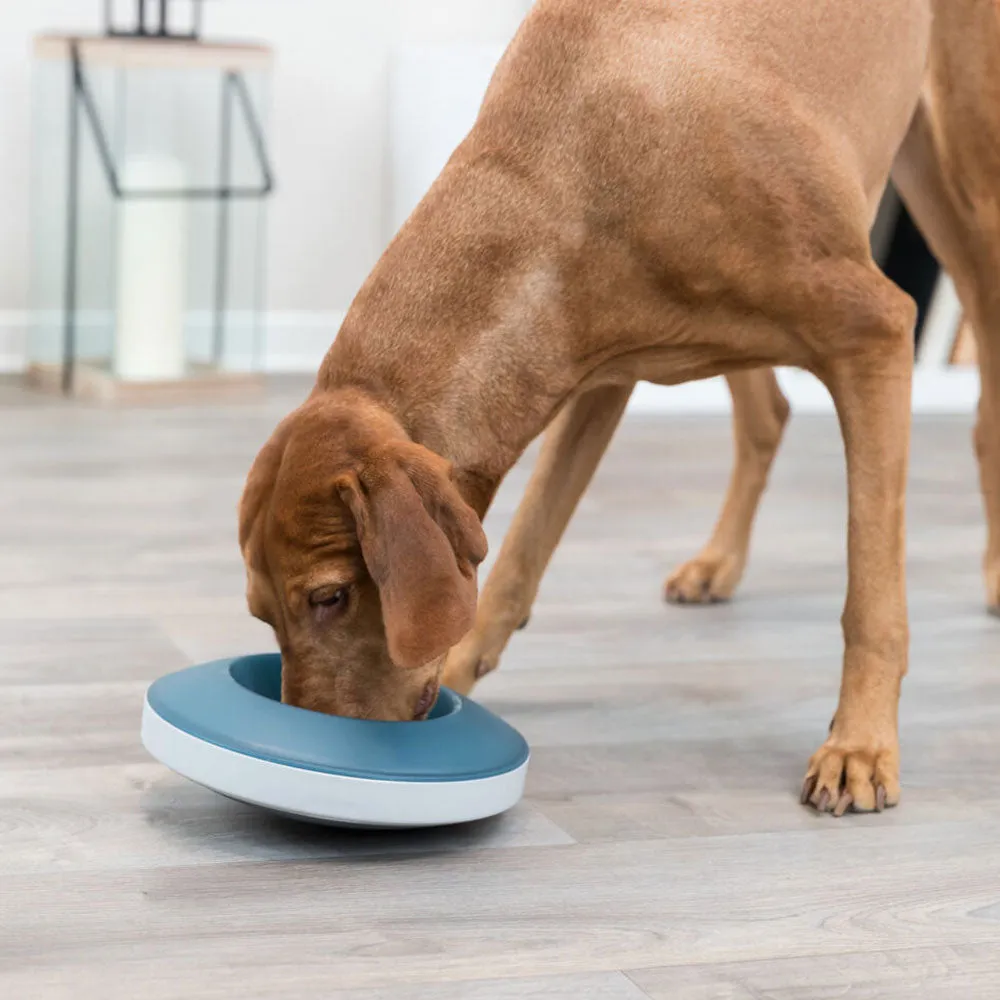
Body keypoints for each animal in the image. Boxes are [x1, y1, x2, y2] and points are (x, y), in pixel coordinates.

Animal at [236, 0, 992, 812]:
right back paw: (717, 563)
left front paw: (859, 745)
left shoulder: (874, 333)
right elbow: (521, 552)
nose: (306, 749)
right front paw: (467, 662)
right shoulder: (586, 373)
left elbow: (871, 591)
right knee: (768, 413)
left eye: (330, 597)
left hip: (964, 182)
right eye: (262, 613)